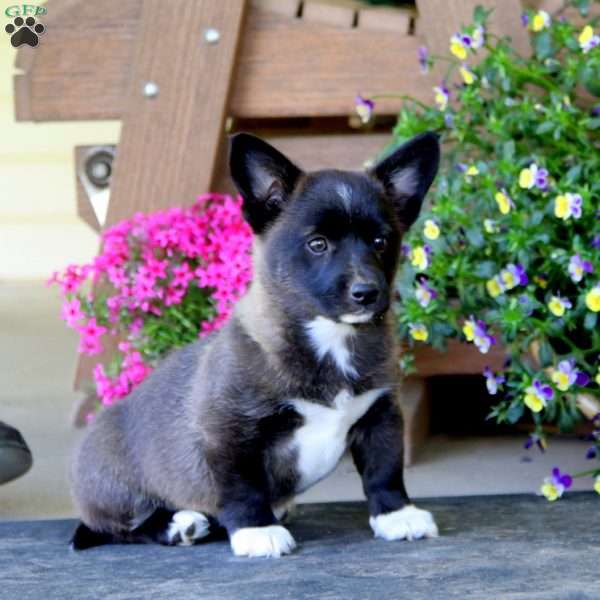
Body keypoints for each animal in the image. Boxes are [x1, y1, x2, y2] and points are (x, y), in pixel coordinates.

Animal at [72, 131, 442, 556]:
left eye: (381, 241)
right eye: (317, 244)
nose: (367, 293)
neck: (330, 340)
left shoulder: (381, 416)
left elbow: (385, 470)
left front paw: (397, 514)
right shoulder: (230, 431)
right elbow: (242, 486)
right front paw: (256, 529)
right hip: (116, 492)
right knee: (119, 527)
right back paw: (178, 524)